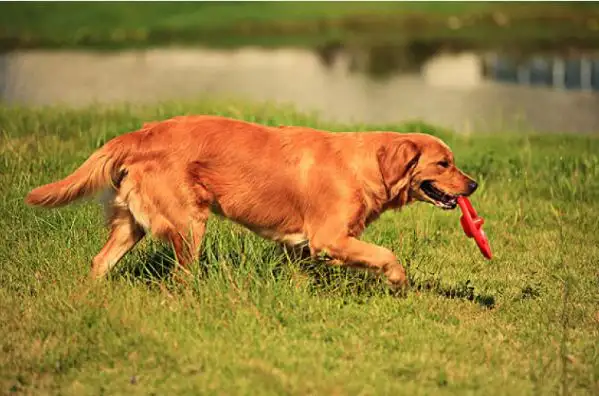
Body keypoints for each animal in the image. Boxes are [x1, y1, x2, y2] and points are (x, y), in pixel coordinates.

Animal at [25, 114, 478, 288]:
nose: (473, 185)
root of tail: (141, 132)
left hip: (131, 223)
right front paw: (399, 282)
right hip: (189, 225)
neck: (366, 164)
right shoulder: (329, 238)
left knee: (100, 261)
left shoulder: (301, 246)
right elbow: (387, 254)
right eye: (444, 163)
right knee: (180, 277)